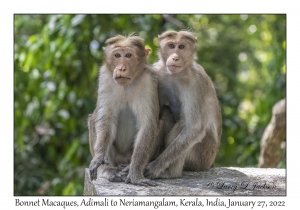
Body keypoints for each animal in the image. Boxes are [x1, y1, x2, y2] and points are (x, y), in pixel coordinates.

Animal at [88, 34, 161, 187]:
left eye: (128, 55)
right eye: (117, 55)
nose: (121, 68)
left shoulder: (149, 81)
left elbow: (148, 125)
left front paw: (135, 174)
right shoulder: (105, 77)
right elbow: (105, 119)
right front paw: (99, 158)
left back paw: (128, 167)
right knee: (93, 119)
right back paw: (108, 170)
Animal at [144, 30, 221, 180]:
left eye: (181, 47)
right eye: (171, 46)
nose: (175, 58)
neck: (176, 75)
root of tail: (211, 164)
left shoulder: (195, 83)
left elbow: (194, 129)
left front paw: (155, 167)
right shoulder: (157, 72)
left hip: (202, 156)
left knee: (185, 125)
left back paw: (171, 173)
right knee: (166, 111)